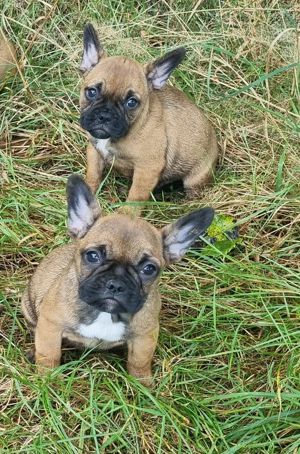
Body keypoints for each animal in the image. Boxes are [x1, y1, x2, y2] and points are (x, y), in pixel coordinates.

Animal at [21, 176, 213, 384]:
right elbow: (49, 356)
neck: (105, 314)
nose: (116, 285)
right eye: (93, 256)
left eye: (149, 269)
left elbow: (139, 362)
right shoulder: (51, 325)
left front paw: (143, 385)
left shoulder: (145, 336)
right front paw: (47, 380)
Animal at [79, 23, 218, 204]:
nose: (105, 116)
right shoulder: (94, 151)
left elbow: (134, 199)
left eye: (131, 102)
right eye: (92, 92)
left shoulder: (147, 169)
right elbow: (92, 176)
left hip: (195, 178)